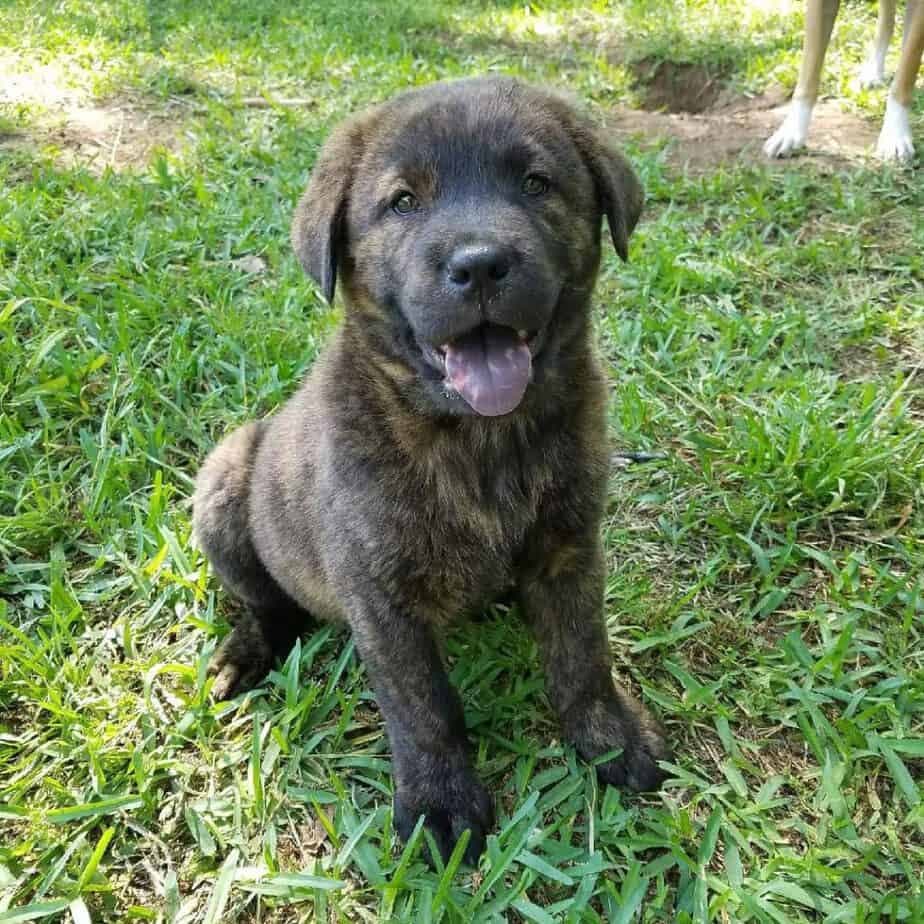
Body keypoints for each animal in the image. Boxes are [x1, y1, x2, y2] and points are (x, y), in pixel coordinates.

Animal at [193, 74, 672, 868]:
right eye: (403, 202)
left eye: (536, 183)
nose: (478, 264)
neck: (479, 440)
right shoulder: (378, 593)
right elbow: (423, 707)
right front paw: (441, 803)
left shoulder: (570, 548)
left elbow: (582, 652)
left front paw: (608, 737)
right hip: (227, 477)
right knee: (266, 600)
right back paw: (246, 649)